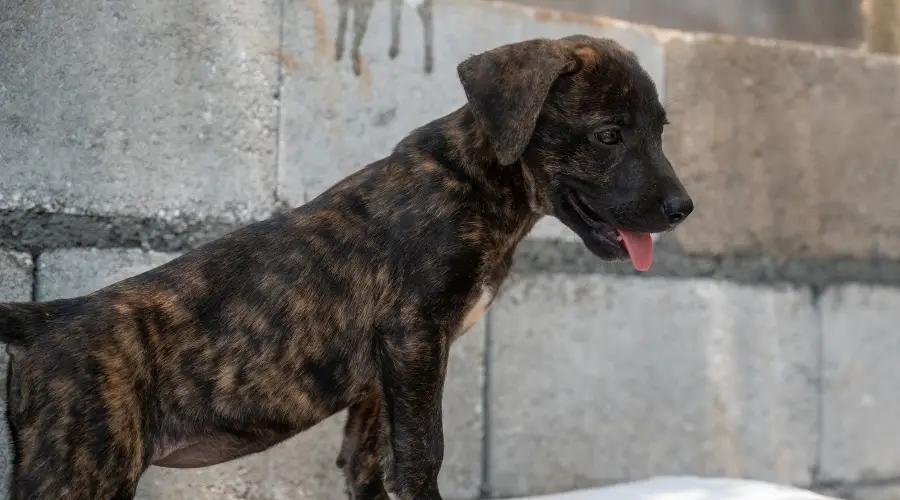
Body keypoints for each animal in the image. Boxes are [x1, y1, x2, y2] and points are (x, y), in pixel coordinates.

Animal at [0, 35, 692, 500]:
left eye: (659, 131)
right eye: (608, 136)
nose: (683, 209)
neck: (477, 180)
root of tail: (47, 321)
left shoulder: (382, 376)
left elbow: (374, 463)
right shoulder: (414, 335)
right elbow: (421, 453)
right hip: (82, 466)